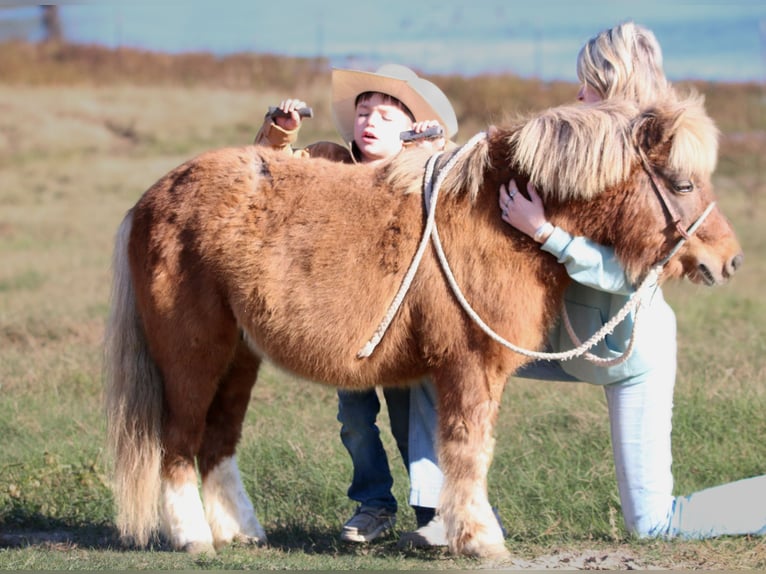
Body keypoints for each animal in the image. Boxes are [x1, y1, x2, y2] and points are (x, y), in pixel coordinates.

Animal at [103, 93, 744, 560]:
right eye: (684, 184)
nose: (729, 261)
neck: (494, 218)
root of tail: (155, 197)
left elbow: (453, 452)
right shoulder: (470, 366)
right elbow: (468, 449)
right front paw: (481, 540)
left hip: (240, 357)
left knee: (218, 443)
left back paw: (241, 531)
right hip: (193, 355)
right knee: (180, 442)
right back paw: (195, 539)